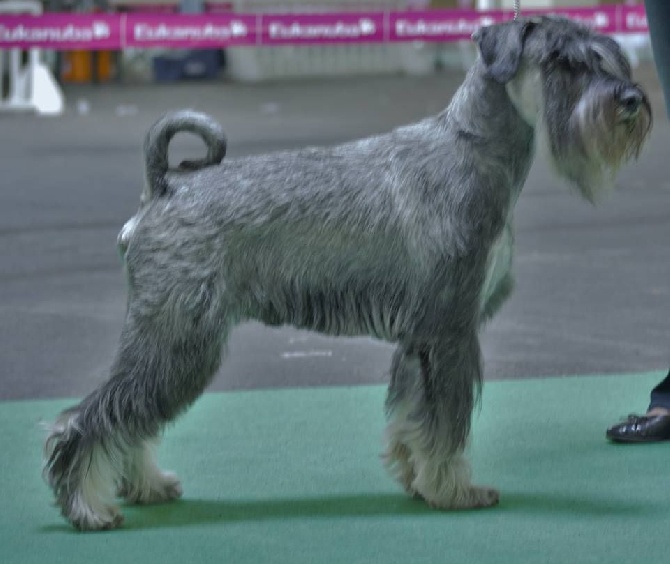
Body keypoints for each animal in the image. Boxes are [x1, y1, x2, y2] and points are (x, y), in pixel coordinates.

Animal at [42, 15, 652, 532]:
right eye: (561, 61)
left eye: (610, 56)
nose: (630, 100)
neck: (474, 150)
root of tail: (165, 188)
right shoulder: (449, 331)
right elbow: (446, 425)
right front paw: (456, 491)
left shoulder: (421, 338)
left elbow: (411, 416)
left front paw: (416, 479)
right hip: (177, 337)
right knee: (92, 418)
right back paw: (89, 508)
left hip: (171, 340)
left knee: (129, 417)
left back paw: (145, 486)